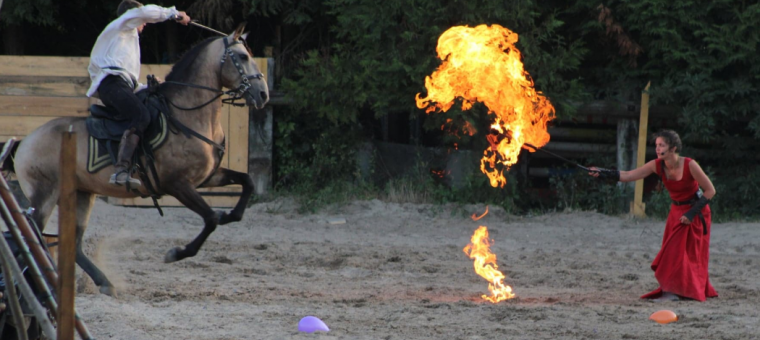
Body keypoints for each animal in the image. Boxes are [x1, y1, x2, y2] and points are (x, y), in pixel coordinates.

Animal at [0, 23, 270, 298]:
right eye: (243, 57)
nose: (263, 94)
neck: (186, 116)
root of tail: (26, 141)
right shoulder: (178, 185)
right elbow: (211, 218)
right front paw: (177, 253)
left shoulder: (207, 178)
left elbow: (246, 183)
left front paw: (230, 215)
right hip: (44, 196)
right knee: (31, 237)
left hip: (81, 195)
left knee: (72, 244)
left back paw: (104, 282)